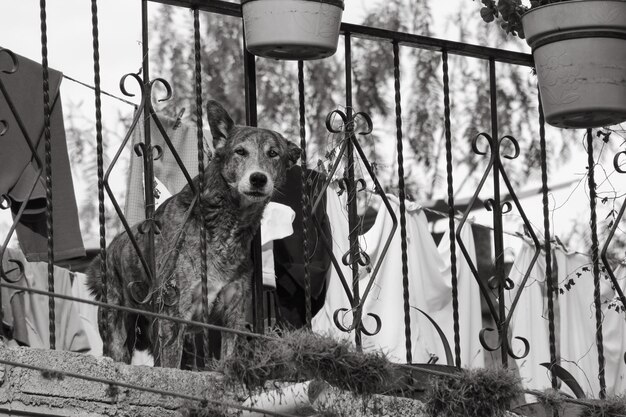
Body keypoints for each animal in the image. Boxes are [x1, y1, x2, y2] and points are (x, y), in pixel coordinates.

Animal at [86, 99, 300, 366]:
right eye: (240, 152)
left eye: (273, 154)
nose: (258, 179)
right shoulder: (173, 314)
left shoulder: (233, 316)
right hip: (119, 334)